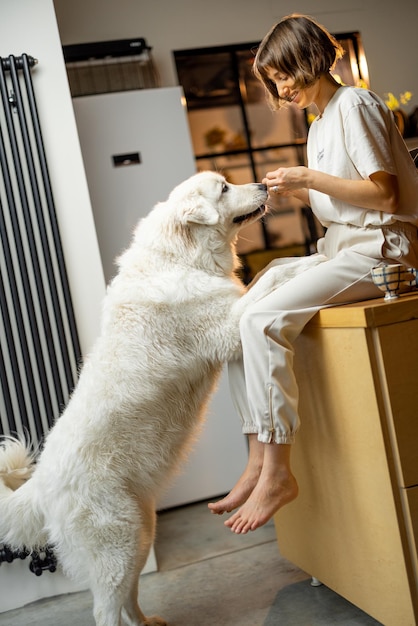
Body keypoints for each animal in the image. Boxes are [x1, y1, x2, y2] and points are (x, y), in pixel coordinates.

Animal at [0, 171, 324, 624]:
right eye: (224, 189)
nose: (262, 183)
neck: (180, 257)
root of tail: (41, 482)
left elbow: (272, 268)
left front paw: (307, 255)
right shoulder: (230, 327)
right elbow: (274, 278)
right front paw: (314, 261)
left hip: (140, 532)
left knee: (129, 598)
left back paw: (149, 622)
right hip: (116, 544)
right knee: (106, 610)